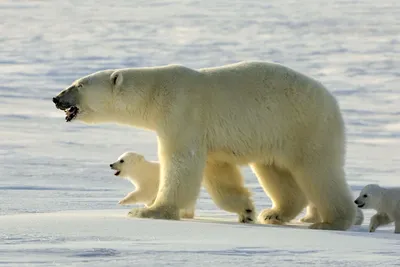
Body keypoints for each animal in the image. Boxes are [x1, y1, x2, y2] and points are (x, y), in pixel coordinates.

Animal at [53, 60, 356, 230]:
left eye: (78, 84)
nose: (56, 98)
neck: (154, 93)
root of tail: (332, 100)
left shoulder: (182, 112)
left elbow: (180, 161)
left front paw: (148, 211)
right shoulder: (206, 134)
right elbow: (218, 170)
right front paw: (246, 210)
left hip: (303, 125)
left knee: (319, 171)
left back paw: (333, 221)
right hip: (275, 135)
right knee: (275, 171)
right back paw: (274, 213)